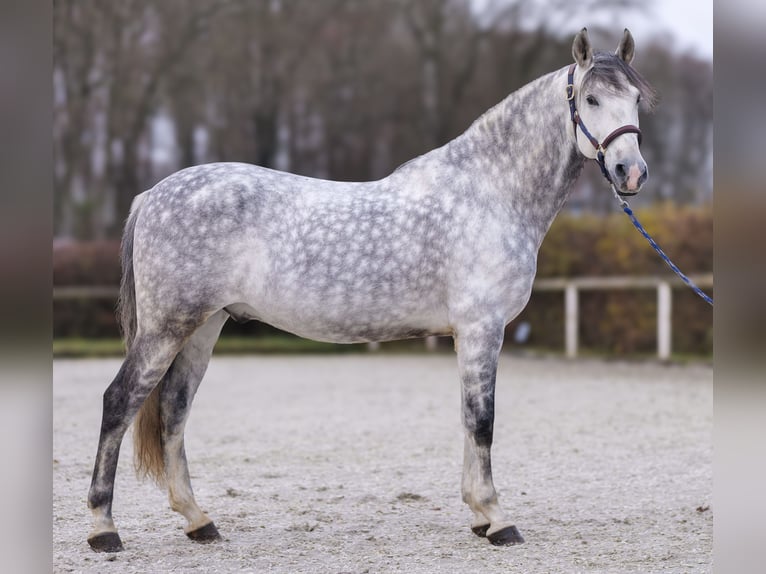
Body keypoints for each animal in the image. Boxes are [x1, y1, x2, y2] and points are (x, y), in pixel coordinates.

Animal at [88, 29, 656, 552]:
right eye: (591, 99)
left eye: (635, 98)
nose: (630, 172)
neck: (490, 194)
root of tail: (153, 194)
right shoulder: (481, 328)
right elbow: (483, 420)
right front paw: (497, 519)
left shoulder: (468, 334)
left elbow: (468, 418)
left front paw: (477, 514)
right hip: (168, 326)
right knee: (120, 401)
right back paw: (103, 528)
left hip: (204, 326)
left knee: (173, 410)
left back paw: (198, 520)